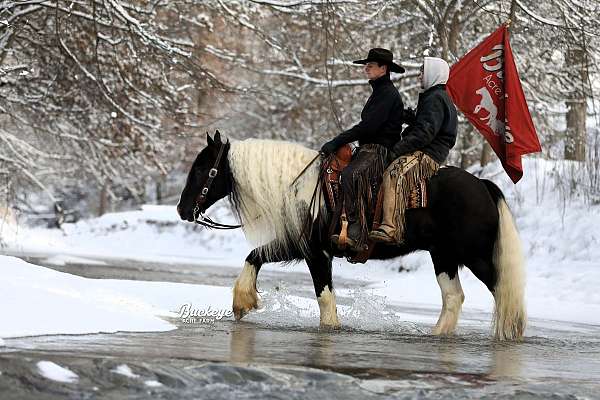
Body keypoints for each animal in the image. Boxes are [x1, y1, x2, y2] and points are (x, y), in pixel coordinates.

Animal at [177, 131, 524, 340]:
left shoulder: (316, 253)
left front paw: (330, 328)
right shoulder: (297, 245)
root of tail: (482, 185)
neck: (301, 188)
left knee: (502, 289)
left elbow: (324, 295)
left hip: (476, 256)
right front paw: (243, 302)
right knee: (453, 297)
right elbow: (255, 255)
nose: (182, 209)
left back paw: (510, 331)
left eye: (202, 169)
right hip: (444, 256)